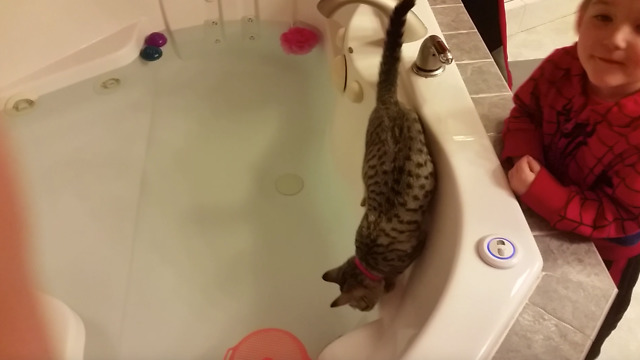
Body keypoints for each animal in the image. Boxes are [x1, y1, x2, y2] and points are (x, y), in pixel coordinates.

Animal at [322, 0, 438, 310]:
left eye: (359, 305)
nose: (368, 308)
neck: (369, 261)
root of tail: (388, 103)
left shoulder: (417, 245)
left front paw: (391, 284)